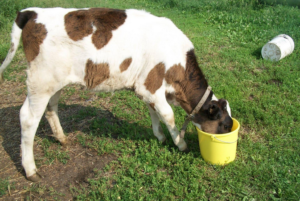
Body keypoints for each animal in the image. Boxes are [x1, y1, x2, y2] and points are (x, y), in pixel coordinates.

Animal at [0, 7, 233, 182]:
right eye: (224, 125)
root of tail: (31, 12)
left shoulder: (147, 88)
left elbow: (154, 112)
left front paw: (159, 136)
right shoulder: (150, 84)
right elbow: (168, 115)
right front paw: (180, 143)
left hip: (55, 81)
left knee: (51, 108)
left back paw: (62, 138)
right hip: (40, 80)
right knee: (28, 118)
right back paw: (31, 170)